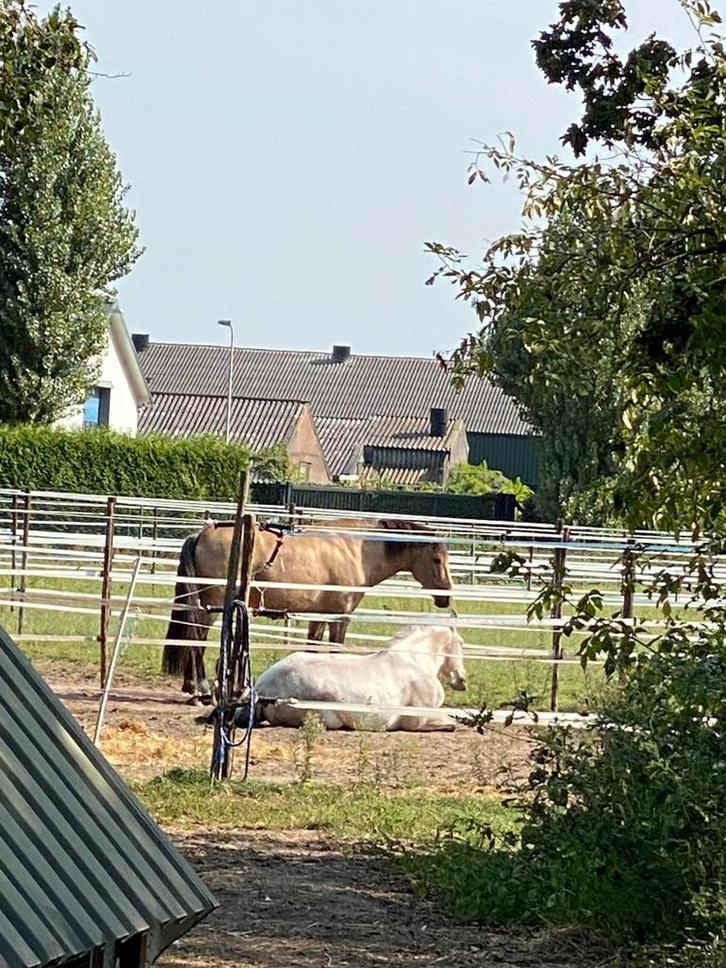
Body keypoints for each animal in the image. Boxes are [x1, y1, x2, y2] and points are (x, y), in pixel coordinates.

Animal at [162, 518, 453, 700]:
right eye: (436, 559)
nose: (446, 596)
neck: (354, 550)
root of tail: (200, 535)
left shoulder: (319, 616)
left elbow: (312, 649)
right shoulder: (339, 617)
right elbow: (335, 650)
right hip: (210, 607)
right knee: (195, 641)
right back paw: (200, 689)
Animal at [254, 625, 467, 731]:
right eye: (462, 643)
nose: (462, 680)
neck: (414, 661)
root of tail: (261, 689)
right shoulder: (418, 722)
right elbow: (451, 722)